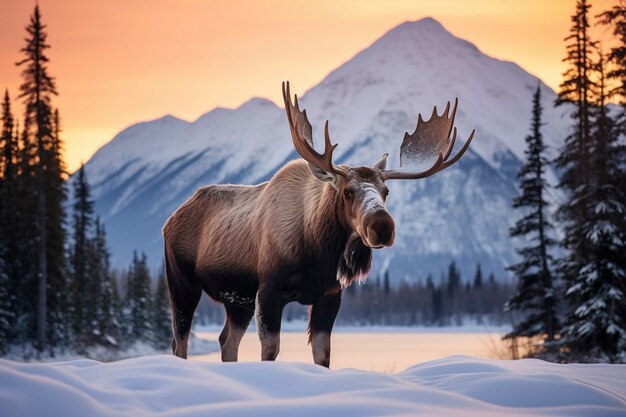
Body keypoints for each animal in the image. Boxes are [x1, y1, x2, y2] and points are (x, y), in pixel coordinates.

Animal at [162, 82, 472, 368]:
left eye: (386, 191)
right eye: (347, 191)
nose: (382, 226)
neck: (317, 251)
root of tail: (170, 219)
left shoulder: (330, 295)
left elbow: (323, 355)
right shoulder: (268, 289)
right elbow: (269, 351)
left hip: (237, 301)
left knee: (226, 342)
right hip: (182, 282)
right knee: (179, 341)